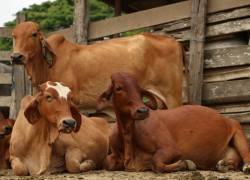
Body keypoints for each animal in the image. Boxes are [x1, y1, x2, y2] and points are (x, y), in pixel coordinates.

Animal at [10, 21, 185, 115]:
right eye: (13, 36)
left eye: (33, 34)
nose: (16, 56)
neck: (46, 67)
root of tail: (174, 41)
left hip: (173, 96)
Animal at [96, 72, 250, 174]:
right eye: (118, 88)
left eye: (139, 89)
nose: (143, 110)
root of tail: (224, 118)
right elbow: (106, 163)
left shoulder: (171, 148)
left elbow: (156, 163)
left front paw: (186, 163)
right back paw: (222, 165)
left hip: (237, 129)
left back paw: (244, 166)